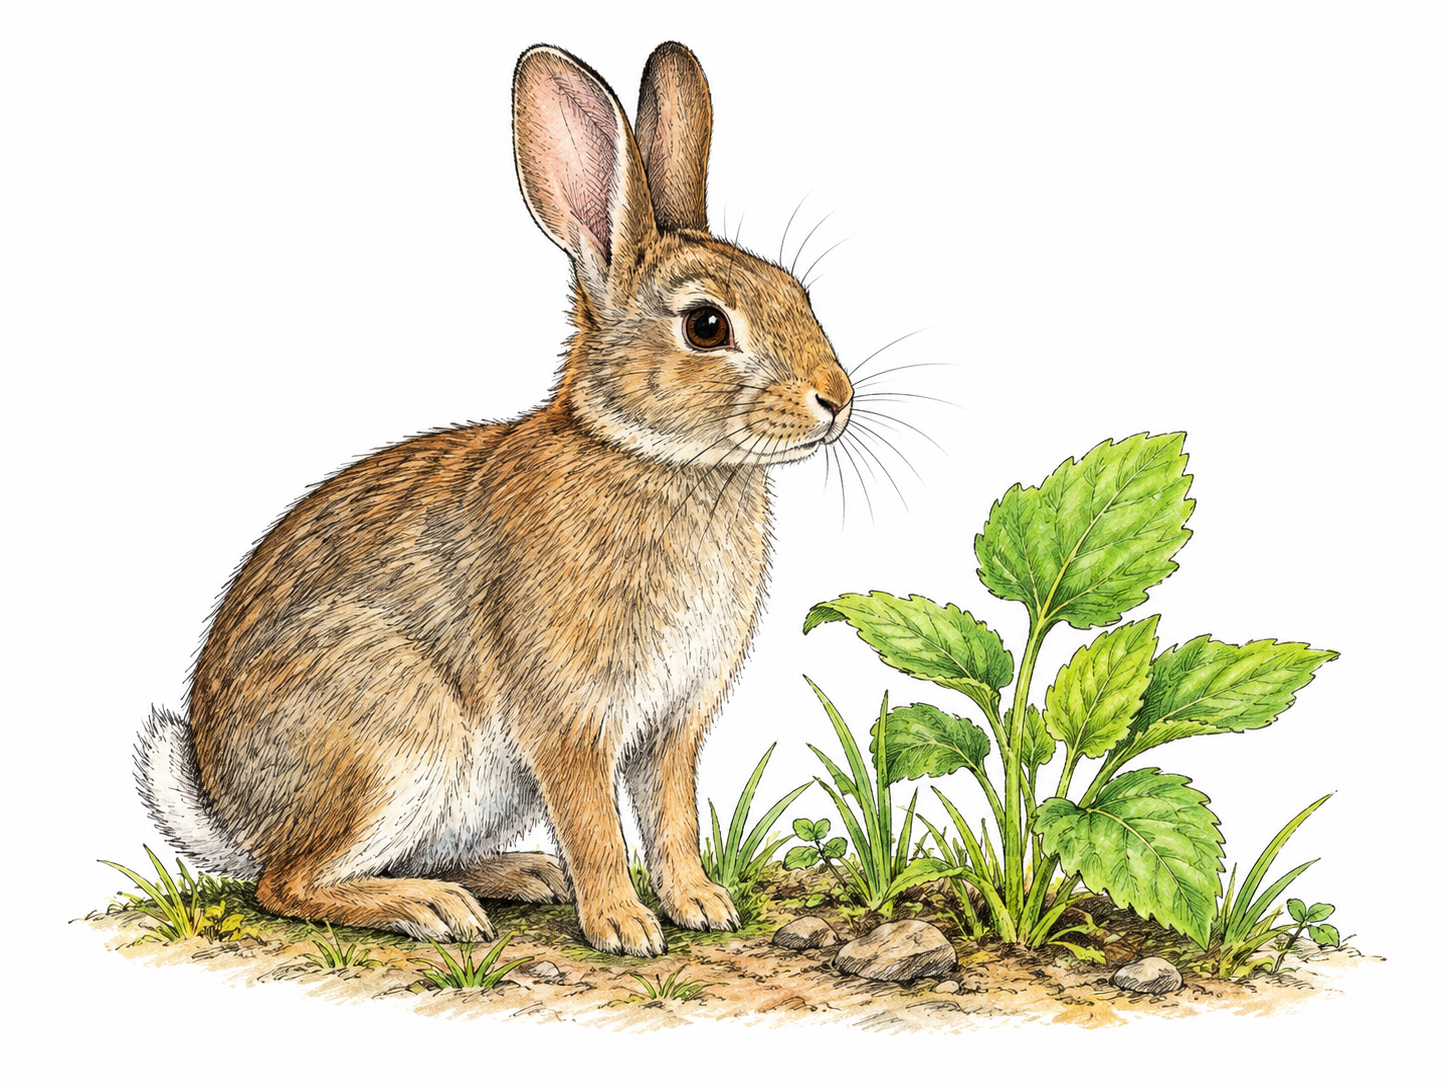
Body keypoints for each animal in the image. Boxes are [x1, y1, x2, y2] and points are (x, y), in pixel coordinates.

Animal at [136, 41, 853, 958]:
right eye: (706, 326)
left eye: (800, 293)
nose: (837, 399)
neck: (657, 457)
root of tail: (233, 813)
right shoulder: (568, 717)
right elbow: (594, 823)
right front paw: (624, 926)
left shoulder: (674, 723)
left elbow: (672, 817)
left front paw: (699, 904)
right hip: (393, 734)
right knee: (286, 884)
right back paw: (431, 909)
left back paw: (518, 877)